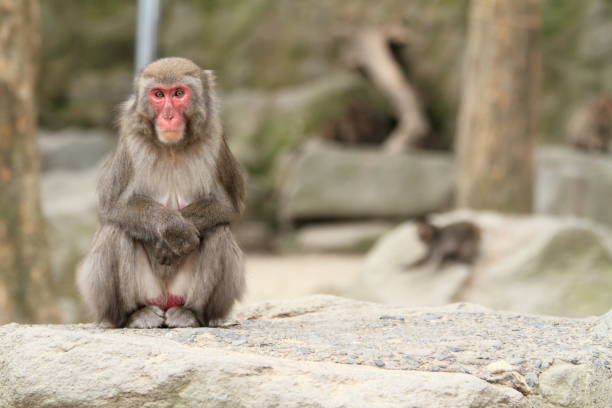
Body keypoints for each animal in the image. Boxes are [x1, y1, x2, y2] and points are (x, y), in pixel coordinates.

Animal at [77, 57, 245, 328]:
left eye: (178, 94)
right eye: (158, 94)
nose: (168, 116)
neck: (172, 148)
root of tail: (165, 300)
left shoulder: (215, 141)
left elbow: (228, 206)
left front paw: (173, 238)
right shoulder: (131, 143)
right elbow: (113, 208)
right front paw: (174, 230)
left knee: (218, 231)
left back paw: (191, 313)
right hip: (140, 293)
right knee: (115, 230)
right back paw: (134, 314)